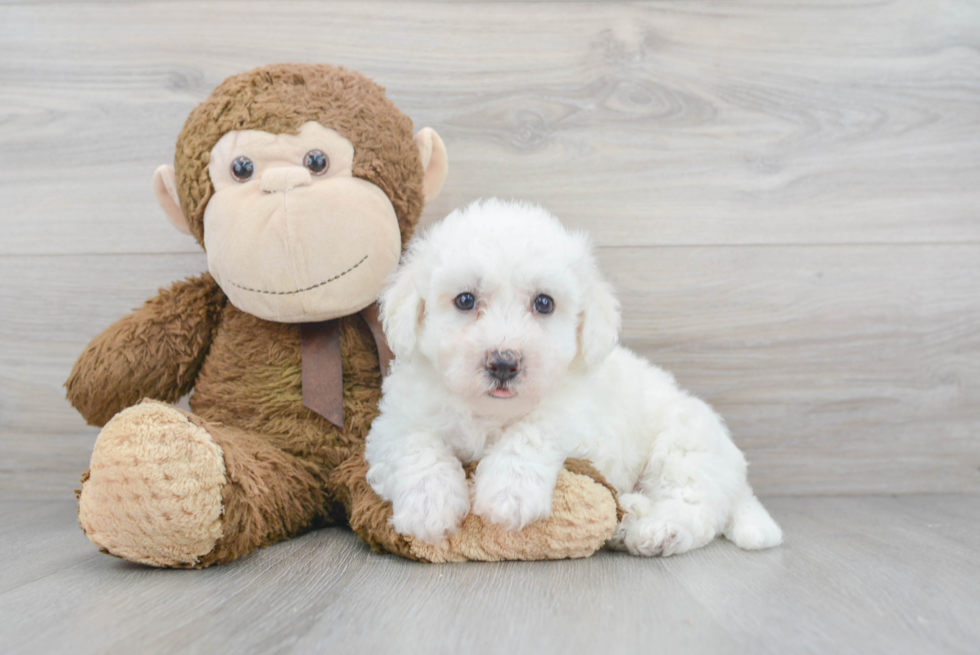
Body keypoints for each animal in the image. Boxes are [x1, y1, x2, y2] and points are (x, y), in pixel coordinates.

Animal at [364, 197, 784, 556]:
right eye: (465, 300)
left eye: (544, 303)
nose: (504, 363)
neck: (491, 413)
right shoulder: (393, 424)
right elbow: (416, 445)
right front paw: (428, 506)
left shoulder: (580, 417)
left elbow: (533, 431)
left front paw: (510, 492)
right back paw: (630, 513)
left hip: (684, 446)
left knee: (695, 507)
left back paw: (655, 530)